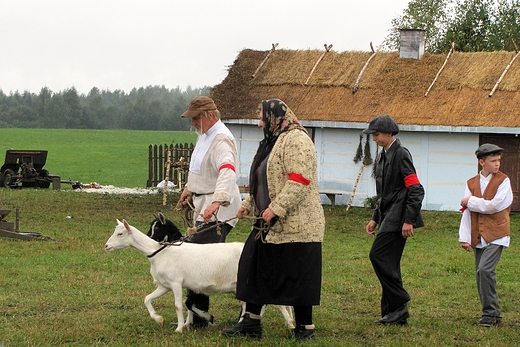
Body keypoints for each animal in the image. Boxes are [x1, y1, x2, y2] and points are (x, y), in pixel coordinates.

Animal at [104, 220, 296, 334]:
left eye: (120, 234)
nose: (106, 246)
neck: (159, 252)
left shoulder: (176, 283)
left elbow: (178, 306)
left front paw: (179, 329)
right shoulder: (164, 285)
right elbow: (147, 299)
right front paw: (158, 319)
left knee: (270, 303)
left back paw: (290, 324)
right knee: (250, 304)